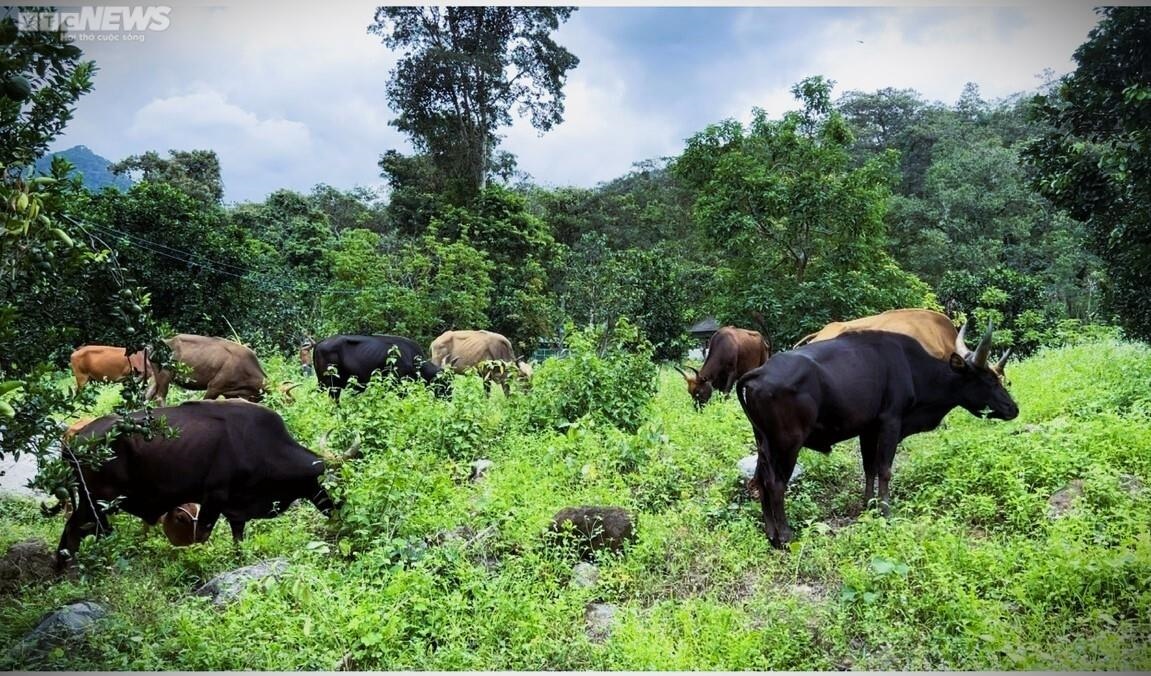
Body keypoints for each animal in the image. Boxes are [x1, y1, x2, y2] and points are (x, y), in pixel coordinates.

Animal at [54, 398, 333, 568]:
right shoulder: (214, 498)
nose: (333, 509)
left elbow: (238, 540)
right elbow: (201, 535)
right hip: (98, 501)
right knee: (78, 530)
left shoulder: (237, 508)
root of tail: (74, 440)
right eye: (326, 481)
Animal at [736, 322, 1017, 550]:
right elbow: (885, 469)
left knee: (760, 479)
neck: (912, 367)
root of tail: (758, 373)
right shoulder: (890, 422)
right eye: (990, 380)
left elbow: (869, 467)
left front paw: (868, 504)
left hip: (764, 444)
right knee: (776, 484)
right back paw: (784, 535)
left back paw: (770, 532)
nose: (1013, 408)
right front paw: (885, 510)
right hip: (787, 444)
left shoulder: (867, 429)